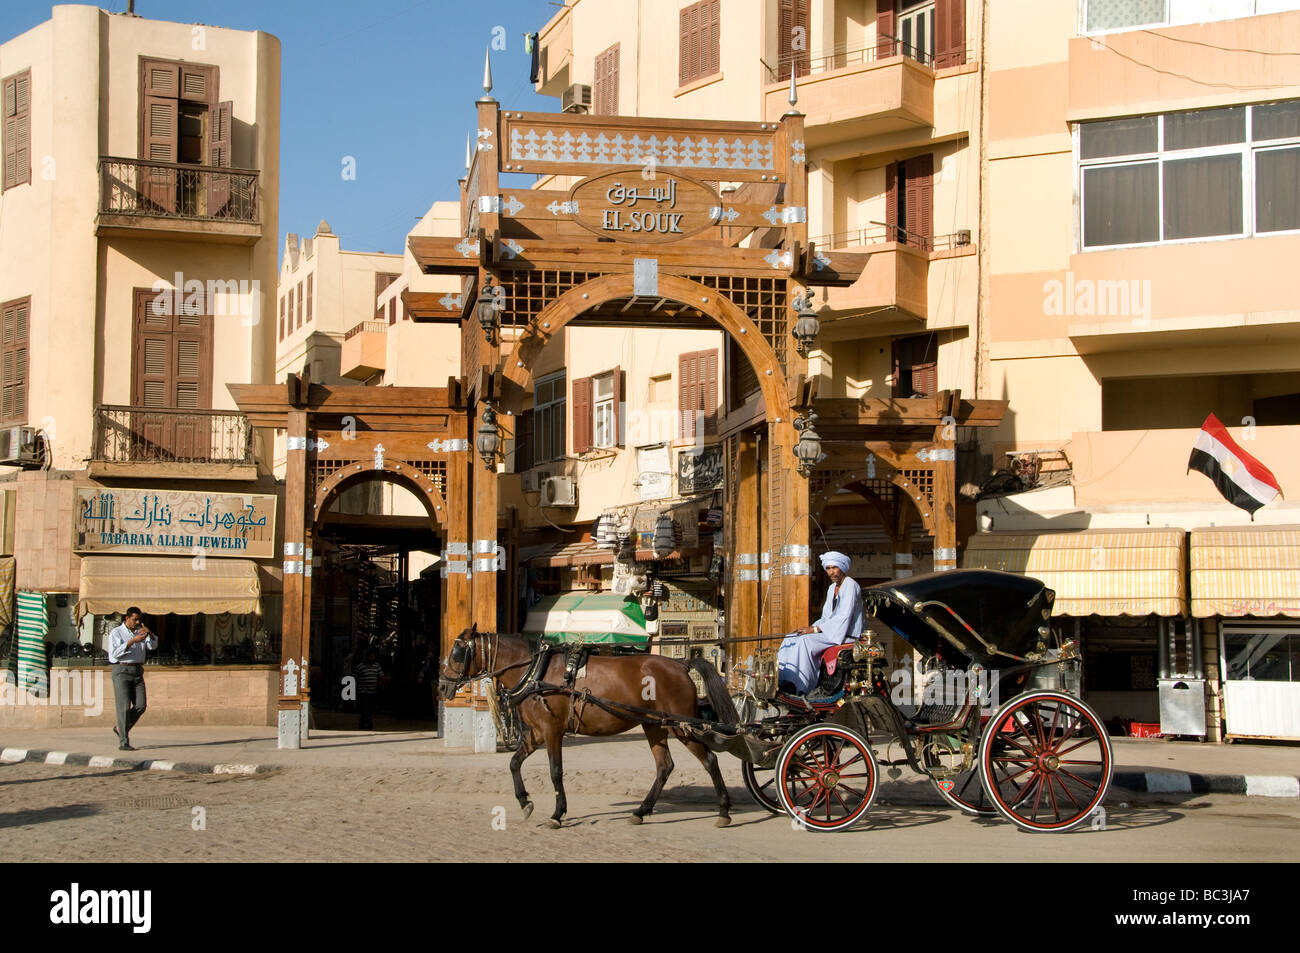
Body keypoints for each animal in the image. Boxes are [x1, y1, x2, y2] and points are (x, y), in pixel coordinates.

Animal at [441, 624, 738, 826]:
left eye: (456, 653)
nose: (442, 686)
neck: (535, 672)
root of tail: (681, 665)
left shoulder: (552, 731)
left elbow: (556, 772)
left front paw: (557, 814)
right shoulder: (536, 733)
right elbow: (514, 763)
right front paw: (525, 801)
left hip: (681, 726)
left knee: (709, 760)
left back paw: (724, 810)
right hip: (655, 726)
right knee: (664, 766)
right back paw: (640, 811)